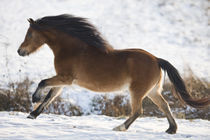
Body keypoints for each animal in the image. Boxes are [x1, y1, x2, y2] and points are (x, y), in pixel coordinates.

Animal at [17, 14, 209, 135]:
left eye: (30, 34)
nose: (20, 51)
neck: (73, 49)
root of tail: (156, 59)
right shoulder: (64, 81)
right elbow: (50, 96)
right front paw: (33, 114)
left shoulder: (65, 78)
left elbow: (43, 83)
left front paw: (34, 99)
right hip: (153, 91)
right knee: (165, 106)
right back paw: (171, 130)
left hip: (137, 91)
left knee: (138, 111)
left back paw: (120, 128)